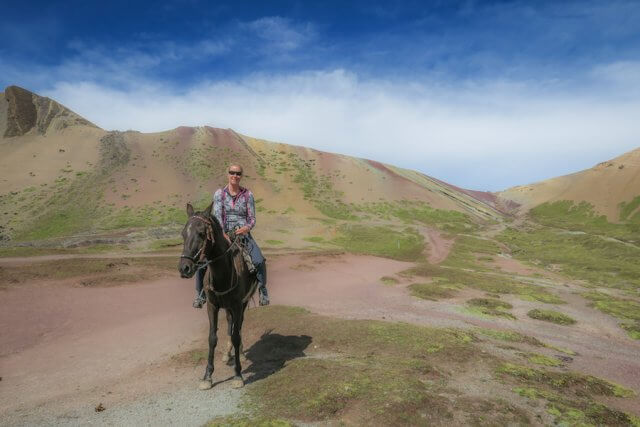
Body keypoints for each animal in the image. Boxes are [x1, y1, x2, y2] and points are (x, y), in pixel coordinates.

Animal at [178, 202, 258, 390]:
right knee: (230, 323)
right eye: (183, 233)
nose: (184, 268)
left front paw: (238, 374)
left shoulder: (237, 305)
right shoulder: (212, 306)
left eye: (201, 233)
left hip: (242, 304)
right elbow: (212, 338)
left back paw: (240, 353)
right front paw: (207, 376)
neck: (223, 272)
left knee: (238, 326)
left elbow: (236, 335)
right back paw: (228, 354)